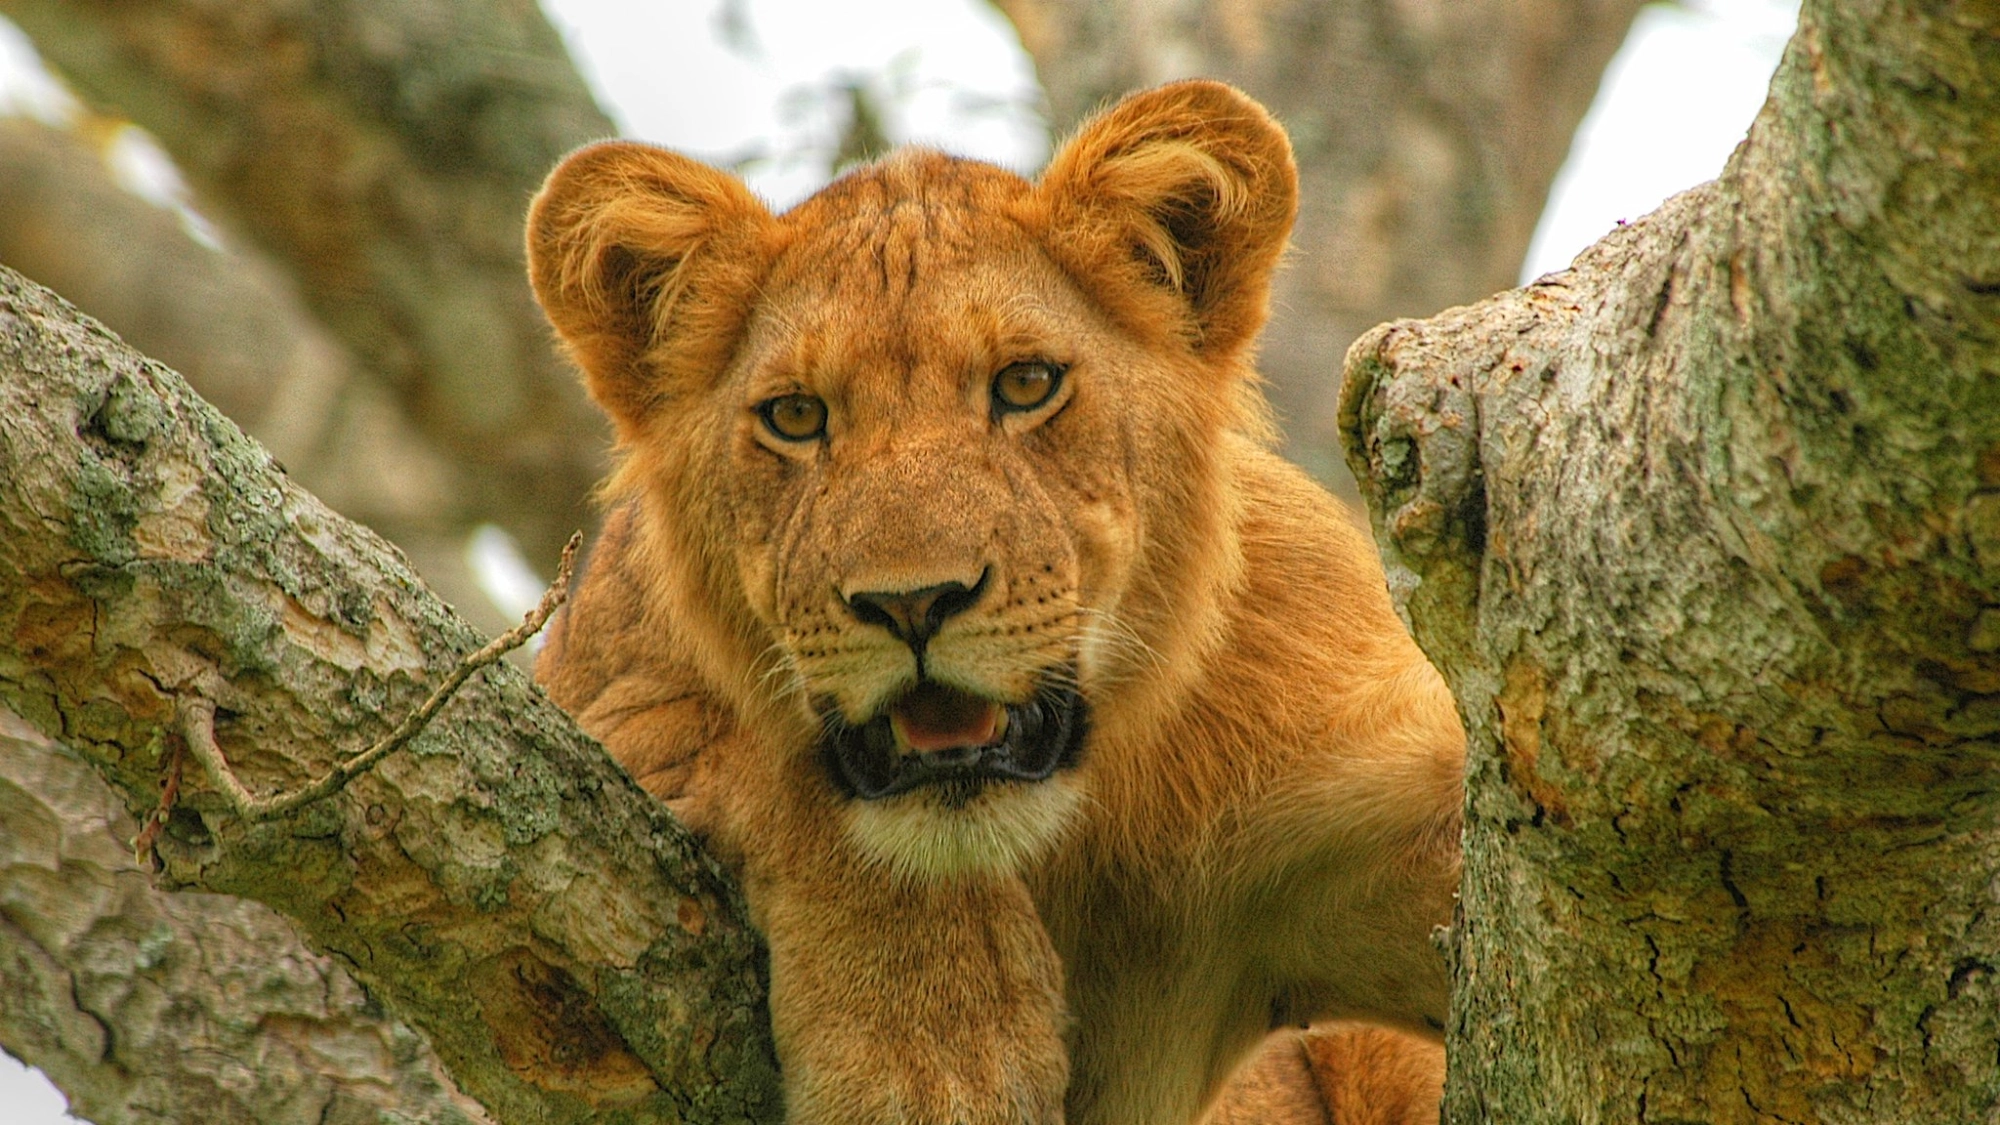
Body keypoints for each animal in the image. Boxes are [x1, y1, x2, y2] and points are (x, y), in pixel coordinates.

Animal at [526, 80, 1462, 1125]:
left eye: (1026, 383)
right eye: (797, 416)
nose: (915, 602)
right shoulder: (594, 692)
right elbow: (757, 757)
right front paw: (936, 1043)